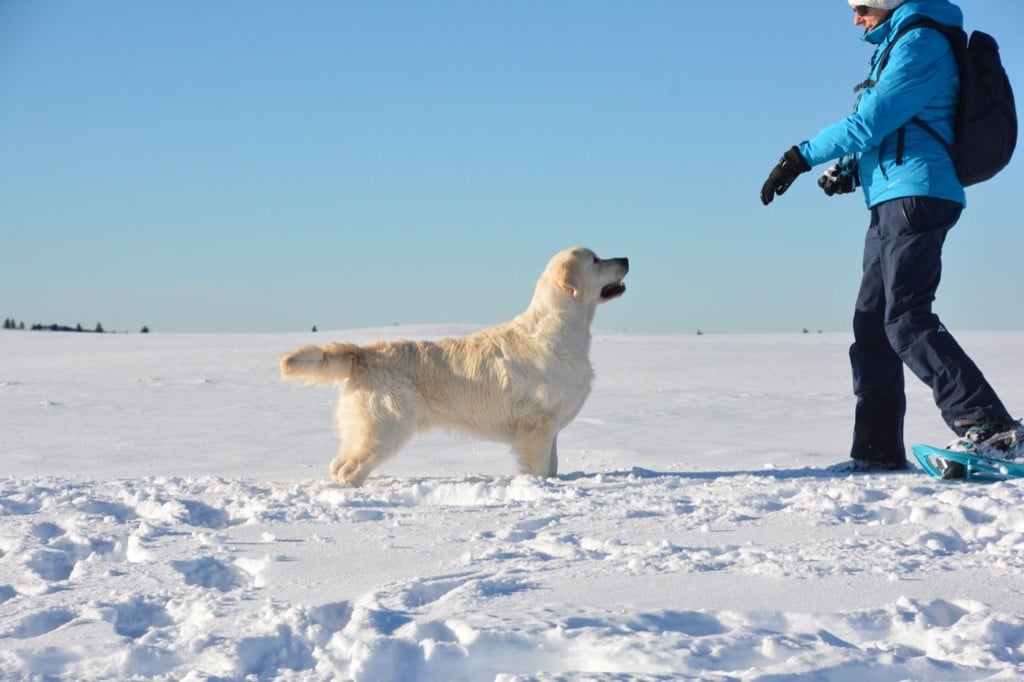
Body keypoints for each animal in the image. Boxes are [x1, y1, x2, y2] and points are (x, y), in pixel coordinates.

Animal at [284, 246, 626, 485]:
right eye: (596, 259)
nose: (626, 258)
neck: (560, 329)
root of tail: (364, 353)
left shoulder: (549, 425)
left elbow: (552, 466)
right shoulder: (539, 424)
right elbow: (542, 468)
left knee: (338, 465)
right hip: (387, 428)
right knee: (350, 470)